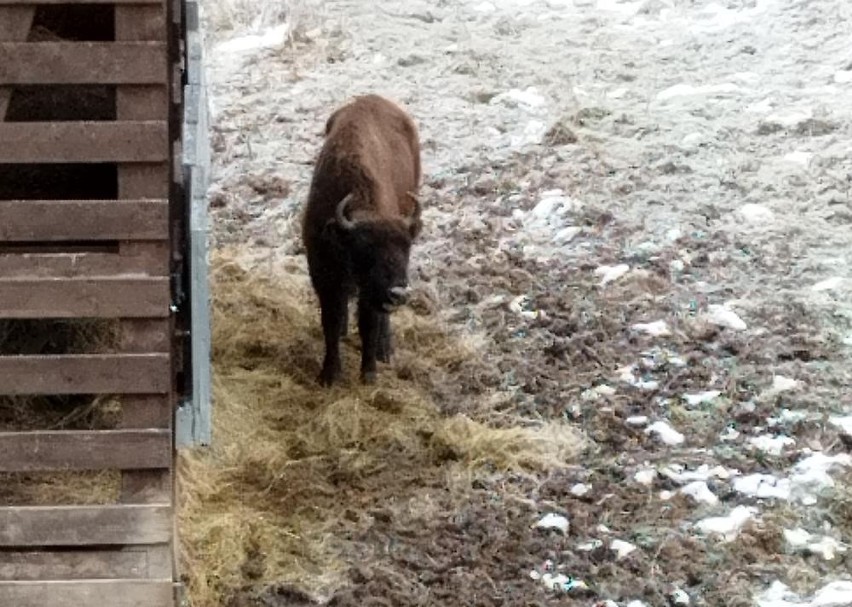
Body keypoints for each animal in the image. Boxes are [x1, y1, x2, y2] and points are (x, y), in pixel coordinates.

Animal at [304, 95, 424, 388]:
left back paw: (384, 350)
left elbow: (369, 323)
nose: (399, 293)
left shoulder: (372, 291)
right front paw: (329, 375)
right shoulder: (324, 276)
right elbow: (331, 320)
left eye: (407, 247)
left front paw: (369, 373)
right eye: (365, 248)